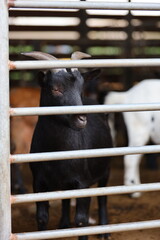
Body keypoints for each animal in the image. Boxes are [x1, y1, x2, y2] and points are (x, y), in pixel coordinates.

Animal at [24, 51, 112, 240]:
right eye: (55, 89)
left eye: (80, 90)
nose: (81, 119)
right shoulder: (38, 182)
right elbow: (42, 217)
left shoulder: (83, 183)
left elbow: (82, 221)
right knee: (65, 197)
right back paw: (64, 224)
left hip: (106, 168)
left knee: (103, 196)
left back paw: (104, 230)